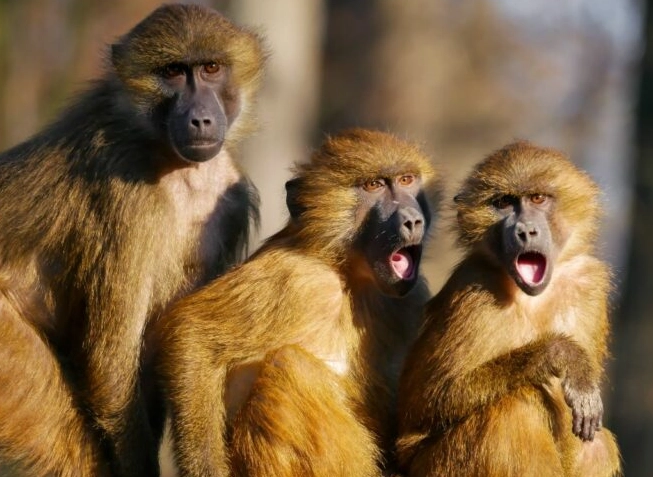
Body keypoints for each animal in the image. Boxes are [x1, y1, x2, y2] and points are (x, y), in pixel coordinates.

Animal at [0, 5, 266, 476]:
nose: (200, 118)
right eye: (173, 72)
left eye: (211, 69)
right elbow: (112, 364)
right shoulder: (127, 195)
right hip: (7, 354)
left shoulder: (231, 202)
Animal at [154, 128, 442, 477]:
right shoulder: (297, 278)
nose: (412, 221)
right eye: (374, 185)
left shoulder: (410, 297)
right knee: (288, 366)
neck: (347, 274)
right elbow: (192, 333)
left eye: (406, 180)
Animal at [395, 141, 621, 477]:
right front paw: (563, 356)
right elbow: (429, 400)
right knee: (514, 409)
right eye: (503, 203)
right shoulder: (473, 290)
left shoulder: (588, 283)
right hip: (436, 465)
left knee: (597, 445)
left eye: (537, 198)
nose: (525, 231)